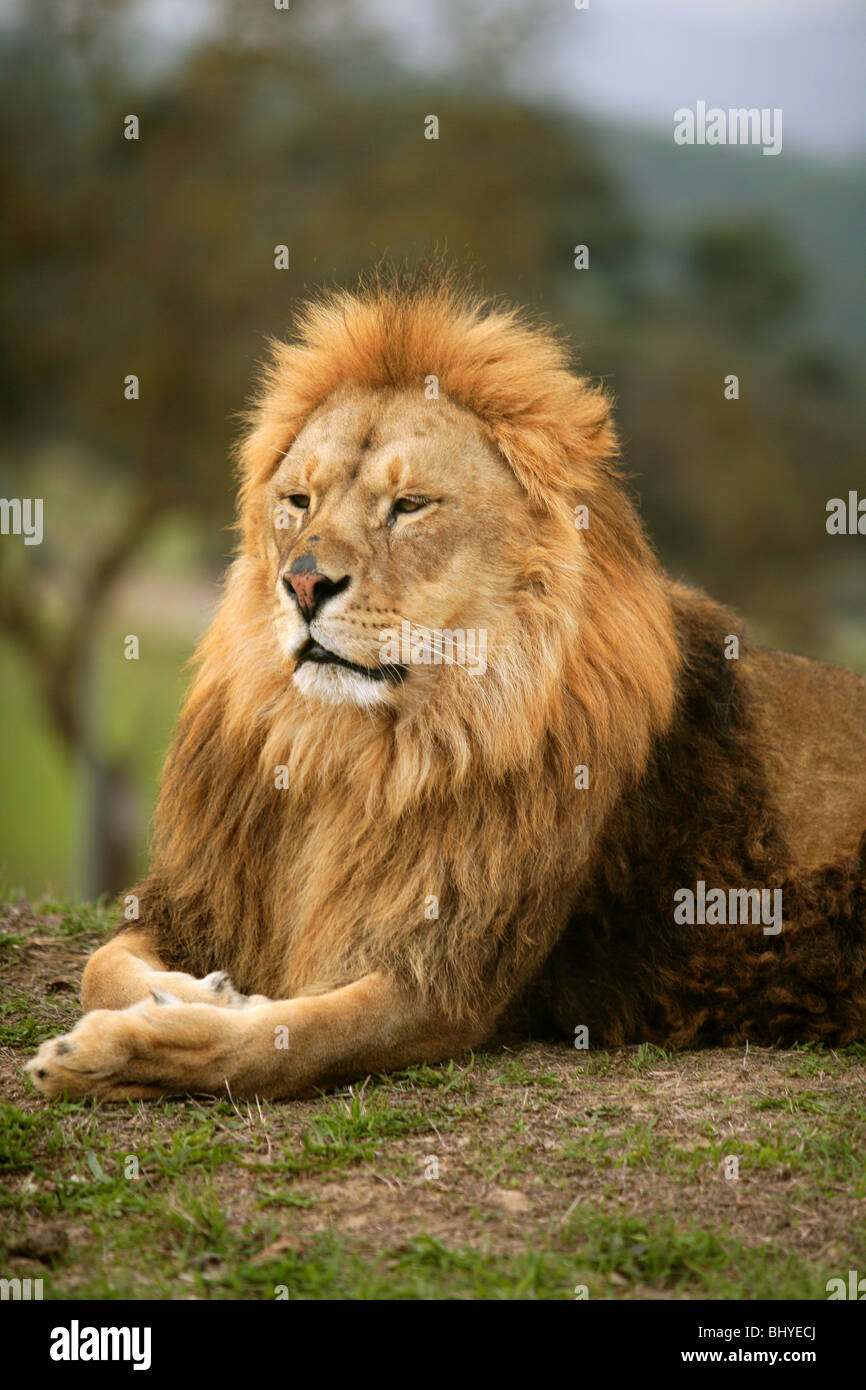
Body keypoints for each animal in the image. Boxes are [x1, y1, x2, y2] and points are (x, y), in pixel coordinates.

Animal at [28, 273, 866, 1101]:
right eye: (298, 502)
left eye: (409, 506)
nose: (302, 583)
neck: (358, 748)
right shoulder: (203, 899)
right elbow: (101, 965)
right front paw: (196, 992)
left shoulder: (451, 982)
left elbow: (280, 1045)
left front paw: (106, 1053)